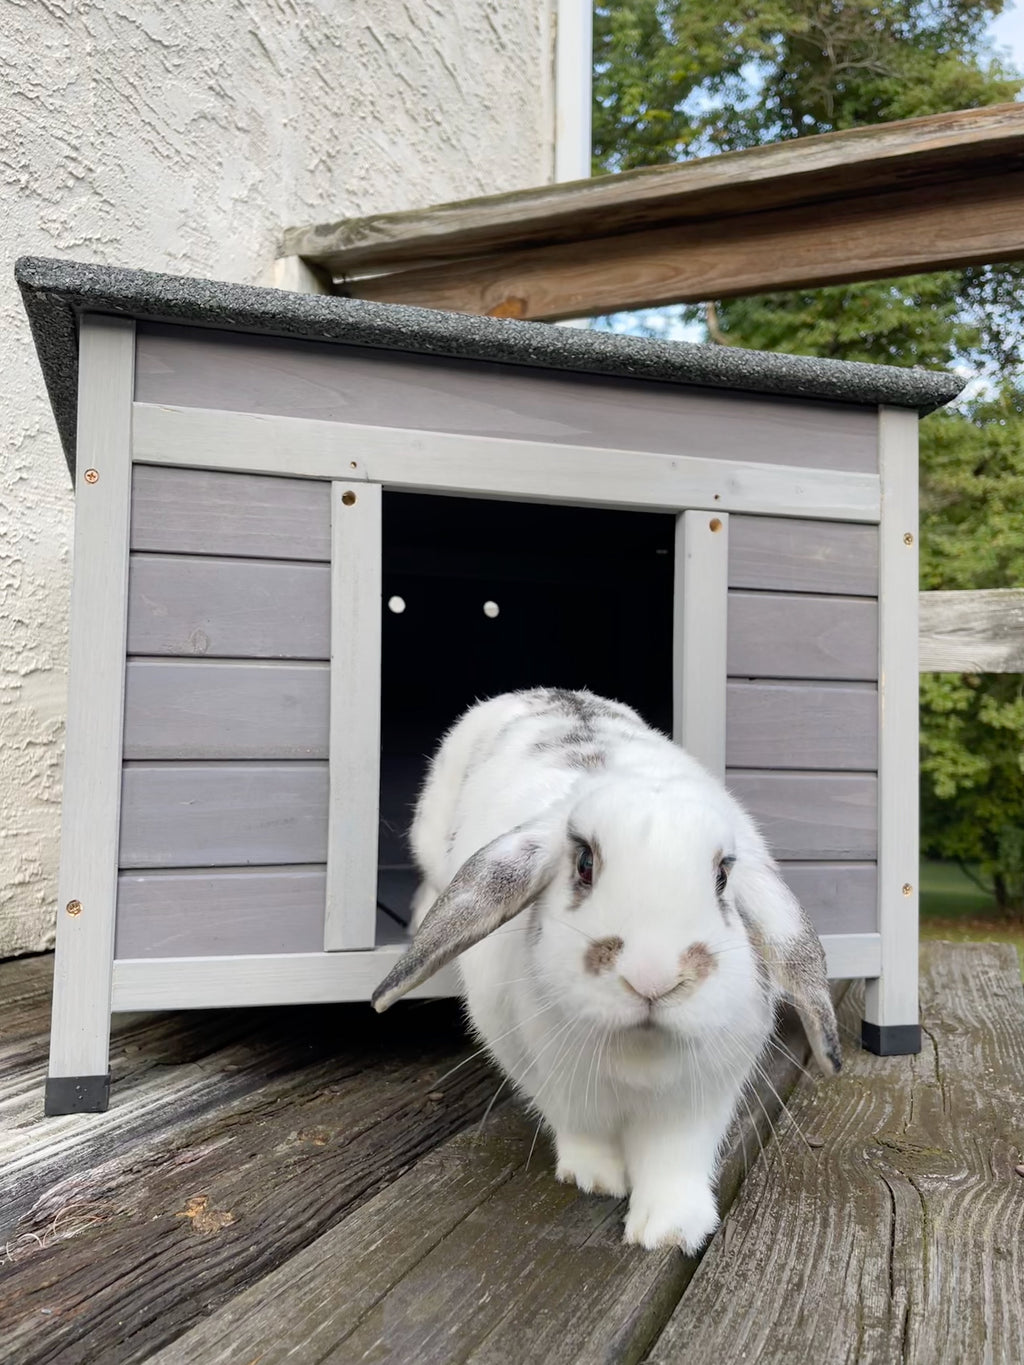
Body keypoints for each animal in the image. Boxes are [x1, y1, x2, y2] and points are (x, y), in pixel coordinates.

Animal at [372, 688, 840, 1253]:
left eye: (723, 877)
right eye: (584, 864)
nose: (653, 978)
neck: (638, 1054)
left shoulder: (700, 1099)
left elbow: (674, 1159)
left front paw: (669, 1231)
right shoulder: (548, 1078)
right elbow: (582, 1129)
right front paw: (596, 1179)